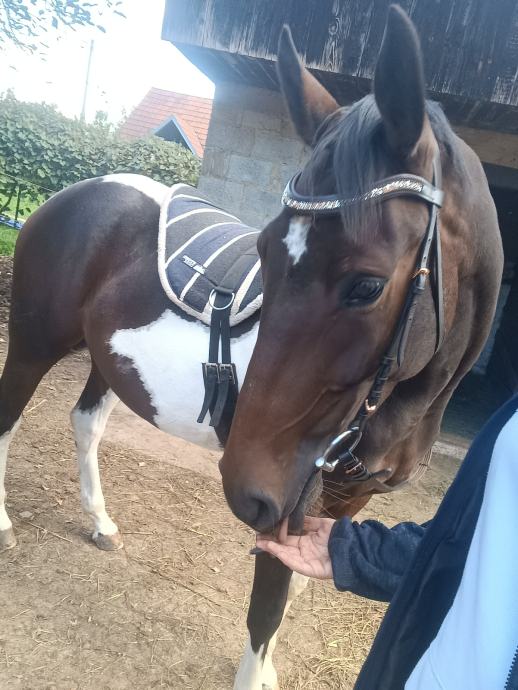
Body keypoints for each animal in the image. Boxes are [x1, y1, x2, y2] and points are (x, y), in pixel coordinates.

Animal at [0, 6, 502, 690]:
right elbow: (266, 609)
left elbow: (294, 594)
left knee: (85, 423)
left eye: (367, 285)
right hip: (32, 344)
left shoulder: (341, 503)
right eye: (262, 249)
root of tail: (74, 192)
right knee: (6, 418)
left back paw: (100, 523)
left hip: (106, 358)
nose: (246, 490)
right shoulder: (289, 504)